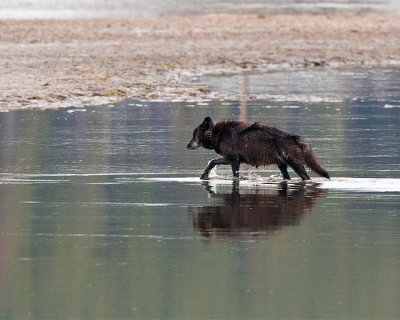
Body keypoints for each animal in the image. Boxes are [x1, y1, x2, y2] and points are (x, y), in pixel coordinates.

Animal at [186, 116, 330, 180]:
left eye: (194, 135)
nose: (187, 146)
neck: (219, 133)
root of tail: (298, 138)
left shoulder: (232, 160)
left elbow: (213, 162)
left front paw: (204, 175)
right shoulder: (233, 161)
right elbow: (213, 162)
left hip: (296, 166)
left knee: (307, 178)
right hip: (282, 166)